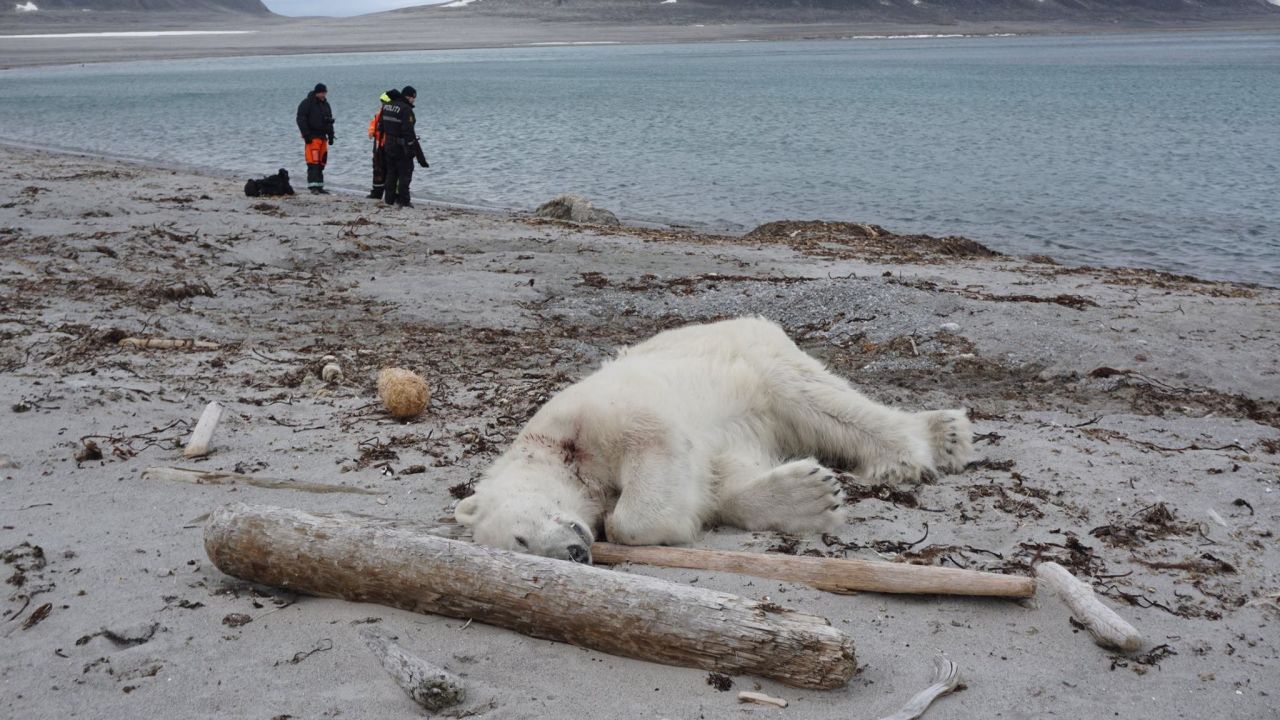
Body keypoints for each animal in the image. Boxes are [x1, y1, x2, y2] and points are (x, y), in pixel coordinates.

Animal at [455, 316, 972, 563]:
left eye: (520, 537)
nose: (576, 553)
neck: (555, 452)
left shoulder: (592, 417)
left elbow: (652, 450)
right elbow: (721, 479)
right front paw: (808, 495)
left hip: (755, 357)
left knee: (818, 400)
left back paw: (930, 442)